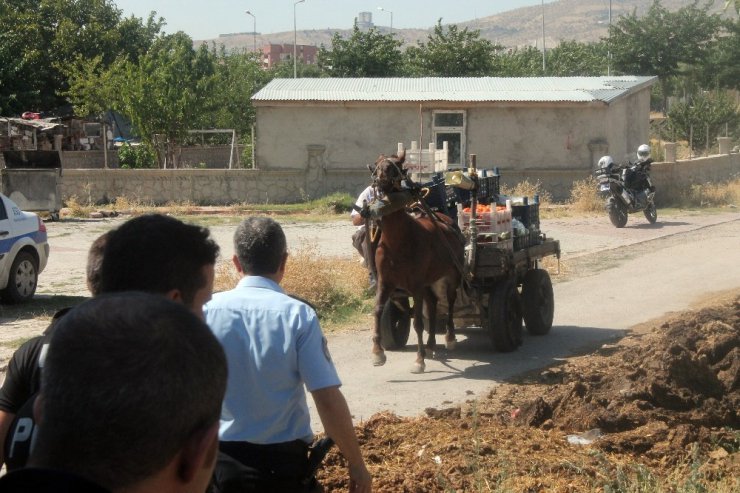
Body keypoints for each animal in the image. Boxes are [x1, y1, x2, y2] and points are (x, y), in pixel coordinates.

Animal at [368, 150, 466, 372]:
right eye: (377, 165)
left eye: (396, 166)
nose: (380, 181)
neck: (398, 241)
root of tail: (446, 221)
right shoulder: (385, 283)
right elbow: (377, 311)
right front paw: (378, 352)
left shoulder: (416, 285)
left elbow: (419, 323)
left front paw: (419, 359)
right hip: (429, 283)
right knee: (432, 305)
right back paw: (430, 345)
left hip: (452, 275)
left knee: (450, 302)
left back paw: (449, 337)